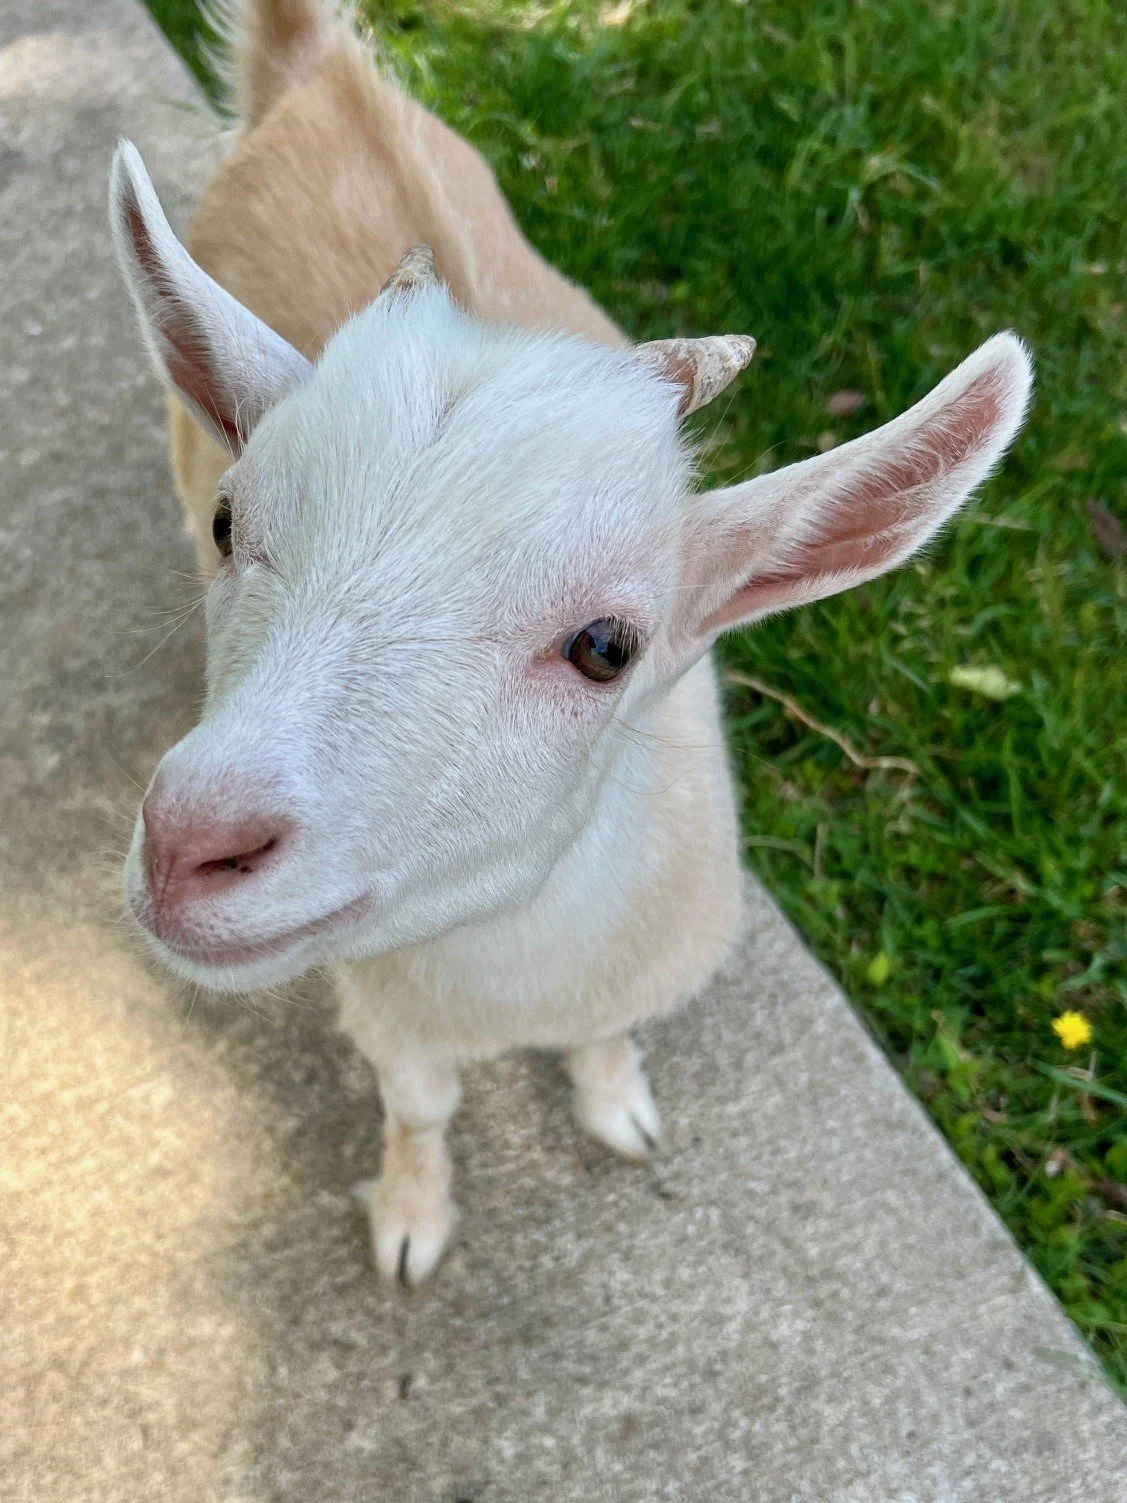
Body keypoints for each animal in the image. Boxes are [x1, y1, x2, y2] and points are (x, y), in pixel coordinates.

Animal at [110, 0, 1032, 1285]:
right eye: (229, 524)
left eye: (604, 645)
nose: (191, 841)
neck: (510, 979)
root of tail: (325, 73)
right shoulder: (384, 1009)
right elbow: (421, 1113)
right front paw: (412, 1221)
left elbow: (608, 1040)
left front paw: (614, 1108)